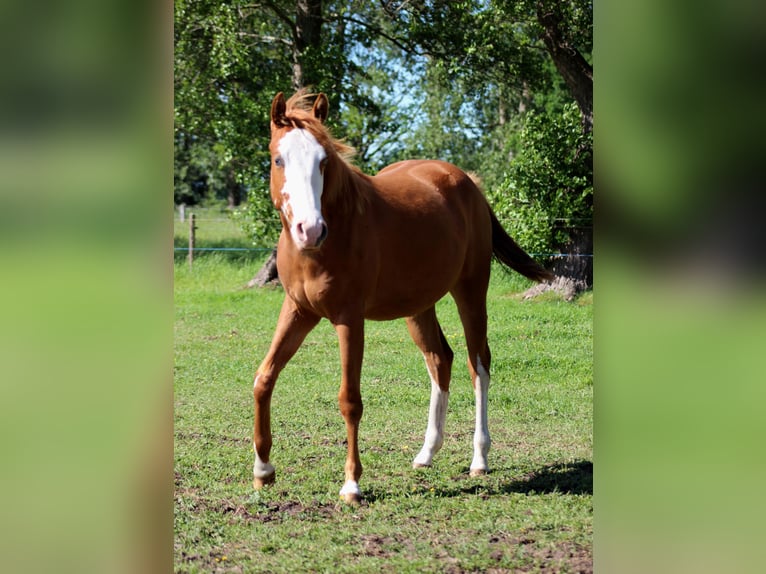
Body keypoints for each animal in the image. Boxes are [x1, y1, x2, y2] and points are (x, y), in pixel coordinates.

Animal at [252, 91, 553, 504]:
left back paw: (479, 458)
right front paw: (263, 470)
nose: (310, 229)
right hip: (419, 306)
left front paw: (352, 484)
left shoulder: (349, 319)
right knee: (440, 359)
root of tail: (469, 184)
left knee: (478, 365)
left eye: (323, 161)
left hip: (471, 292)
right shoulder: (298, 311)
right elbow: (264, 378)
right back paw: (427, 453)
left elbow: (350, 399)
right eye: (278, 159)